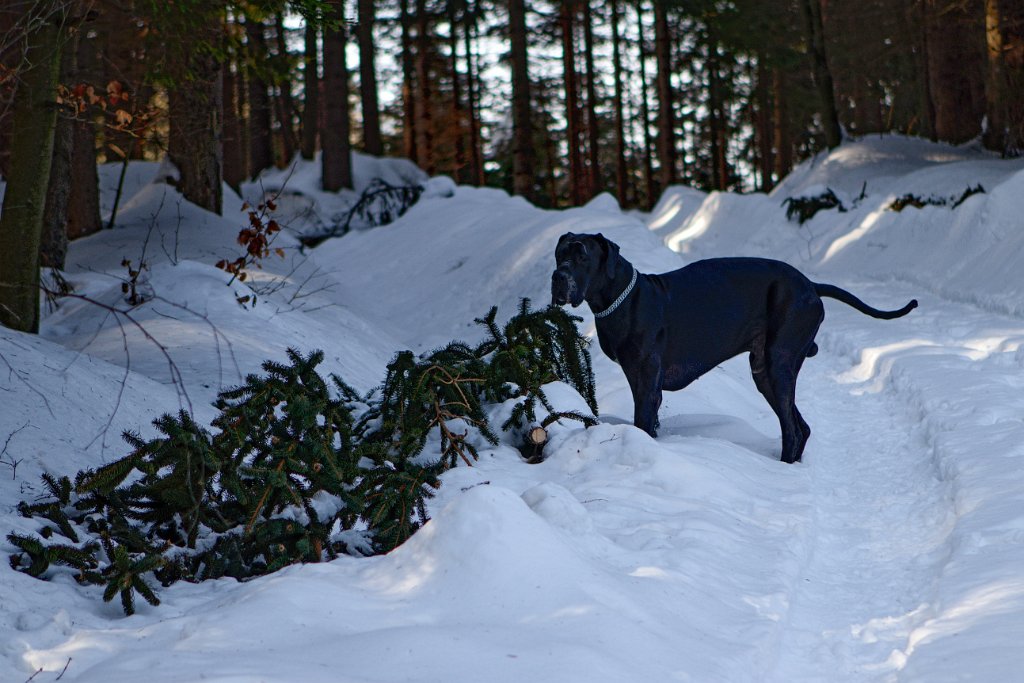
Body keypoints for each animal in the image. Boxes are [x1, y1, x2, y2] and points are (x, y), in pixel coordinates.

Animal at [552, 232, 921, 462]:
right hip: (766, 372)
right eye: (559, 255)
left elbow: (643, 423)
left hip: (778, 363)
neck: (623, 301)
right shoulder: (641, 382)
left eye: (582, 255)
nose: (558, 277)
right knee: (800, 427)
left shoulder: (647, 384)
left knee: (792, 430)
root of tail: (811, 285)